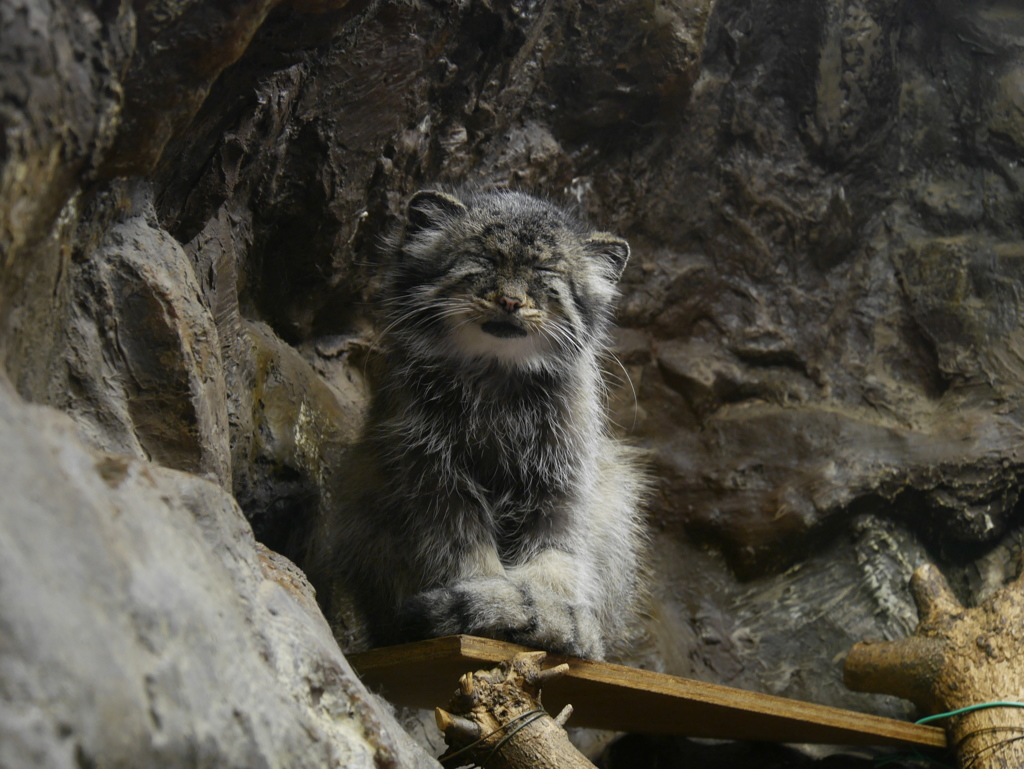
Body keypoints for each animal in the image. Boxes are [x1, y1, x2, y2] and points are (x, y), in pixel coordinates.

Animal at [311, 189, 647, 659]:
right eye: (485, 258)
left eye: (545, 271)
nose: (510, 301)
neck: (497, 379)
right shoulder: (434, 476)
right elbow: (465, 550)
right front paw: (493, 601)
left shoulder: (561, 481)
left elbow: (556, 555)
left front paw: (553, 613)